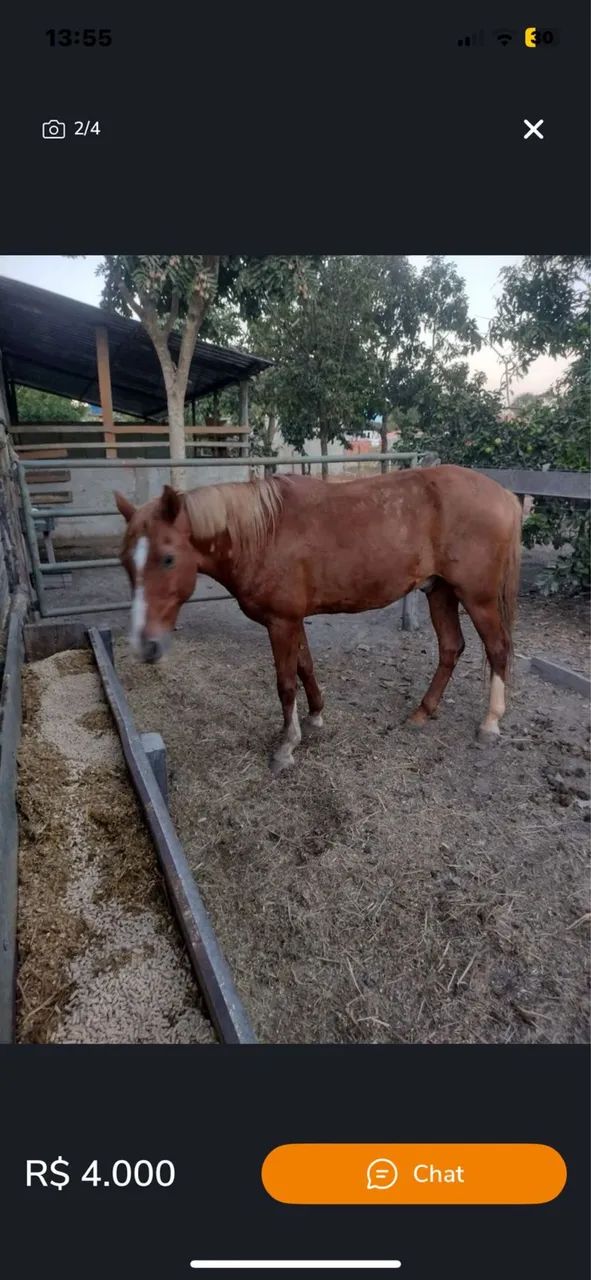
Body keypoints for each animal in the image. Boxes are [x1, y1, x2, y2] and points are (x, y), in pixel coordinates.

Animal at [115, 465, 522, 775]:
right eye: (124, 561)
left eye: (167, 558)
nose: (145, 645)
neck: (262, 534)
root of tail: (504, 495)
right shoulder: (294, 619)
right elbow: (305, 667)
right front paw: (314, 718)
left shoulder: (281, 622)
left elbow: (285, 683)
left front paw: (286, 747)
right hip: (439, 591)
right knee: (451, 648)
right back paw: (422, 712)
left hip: (477, 597)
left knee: (498, 648)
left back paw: (490, 723)